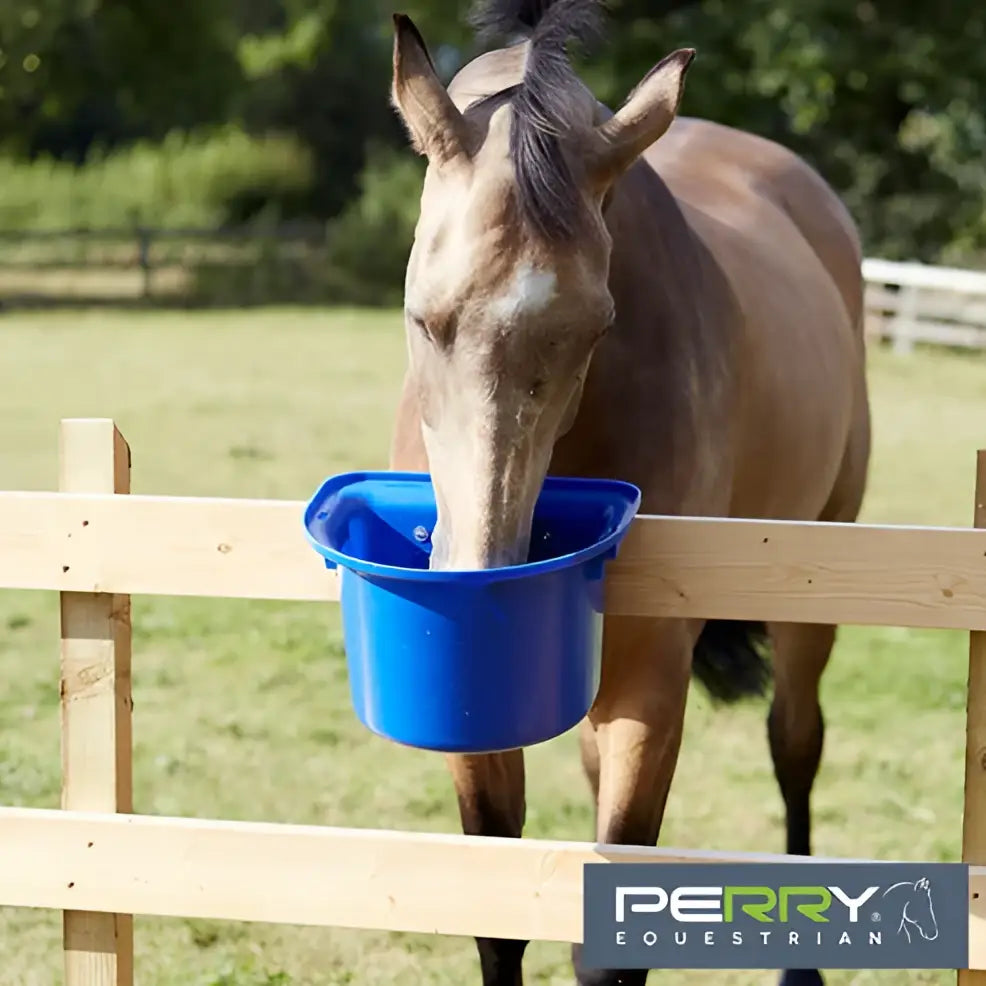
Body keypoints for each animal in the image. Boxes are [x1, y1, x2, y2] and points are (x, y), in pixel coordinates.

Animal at [385, 0, 871, 983]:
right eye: (424, 316)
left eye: (595, 326)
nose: (485, 569)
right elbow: (493, 915)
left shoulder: (652, 675)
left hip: (809, 599)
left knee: (795, 745)